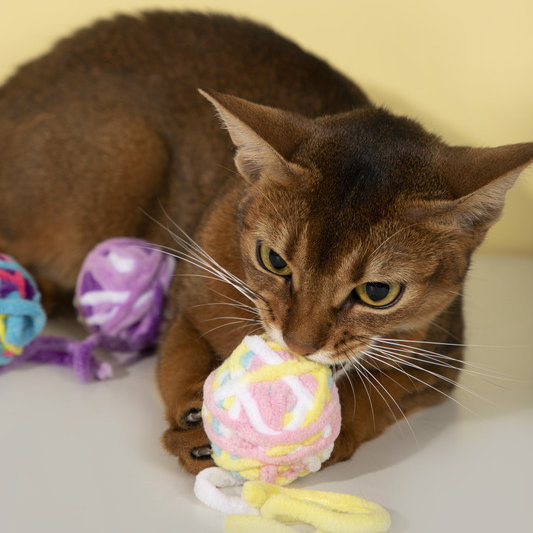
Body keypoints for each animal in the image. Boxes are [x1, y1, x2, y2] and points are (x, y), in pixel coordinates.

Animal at [1, 10, 532, 472]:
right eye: (274, 260)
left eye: (378, 293)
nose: (298, 344)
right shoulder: (187, 302)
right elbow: (181, 357)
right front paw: (195, 417)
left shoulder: (439, 360)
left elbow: (366, 397)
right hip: (131, 144)